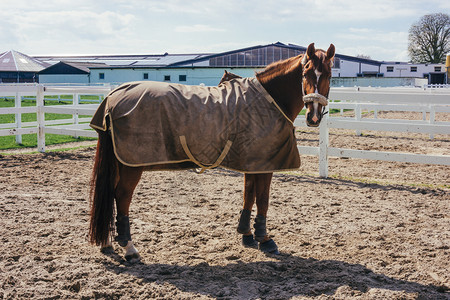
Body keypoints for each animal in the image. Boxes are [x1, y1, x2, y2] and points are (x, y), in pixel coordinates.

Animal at [89, 42, 334, 260]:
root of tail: (112, 97)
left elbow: (249, 195)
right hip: (131, 164)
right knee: (121, 196)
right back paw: (129, 248)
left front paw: (246, 234)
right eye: (306, 73)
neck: (269, 99)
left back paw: (107, 242)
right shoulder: (265, 164)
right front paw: (265, 239)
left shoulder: (252, 162)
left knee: (109, 193)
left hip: (120, 162)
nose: (313, 116)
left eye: (329, 75)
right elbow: (262, 199)